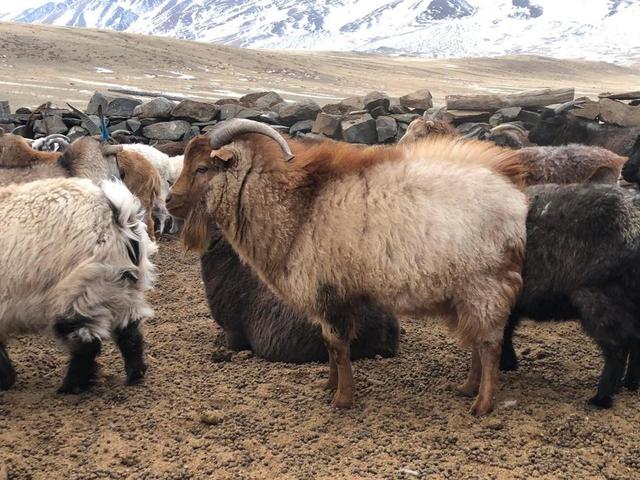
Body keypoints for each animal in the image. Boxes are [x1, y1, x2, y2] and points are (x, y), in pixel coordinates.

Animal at [0, 177, 156, 393]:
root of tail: (117, 218)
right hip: (124, 291)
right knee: (130, 332)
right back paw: (135, 373)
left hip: (80, 293)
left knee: (86, 344)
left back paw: (71, 386)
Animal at [500, 183, 640, 408]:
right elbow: (505, 331)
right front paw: (507, 364)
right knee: (635, 341)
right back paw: (629, 383)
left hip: (597, 300)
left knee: (617, 348)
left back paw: (601, 398)